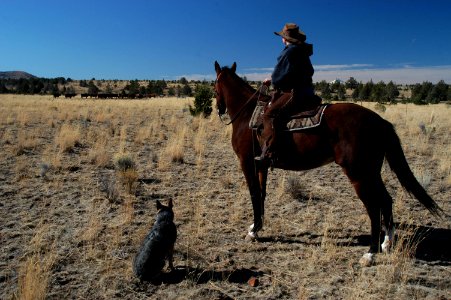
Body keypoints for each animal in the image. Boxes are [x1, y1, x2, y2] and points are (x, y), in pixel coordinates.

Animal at [214, 61, 444, 264]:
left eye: (215, 87)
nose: (219, 109)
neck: (247, 115)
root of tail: (380, 122)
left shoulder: (247, 163)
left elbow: (254, 194)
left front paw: (253, 231)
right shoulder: (261, 165)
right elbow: (261, 195)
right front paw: (257, 227)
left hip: (359, 174)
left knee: (373, 206)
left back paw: (370, 253)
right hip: (372, 172)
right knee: (386, 200)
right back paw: (387, 244)